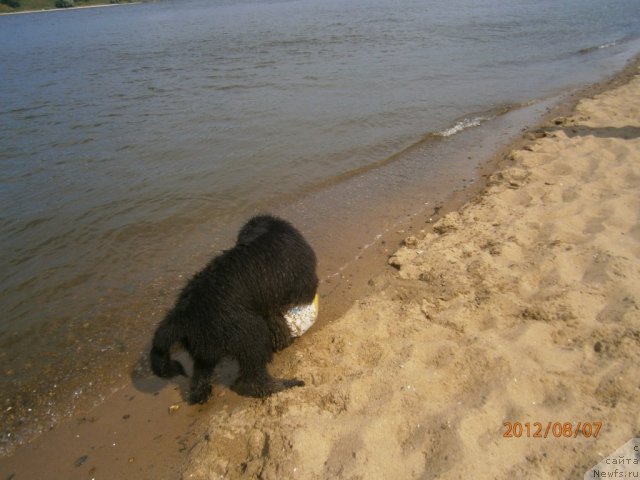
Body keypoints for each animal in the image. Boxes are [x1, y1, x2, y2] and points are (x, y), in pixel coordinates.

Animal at [151, 216, 320, 404]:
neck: (267, 230)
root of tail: (182, 316)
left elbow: (276, 321)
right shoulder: (302, 283)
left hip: (205, 351)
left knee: (200, 378)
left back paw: (200, 396)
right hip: (251, 334)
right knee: (254, 377)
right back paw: (282, 385)